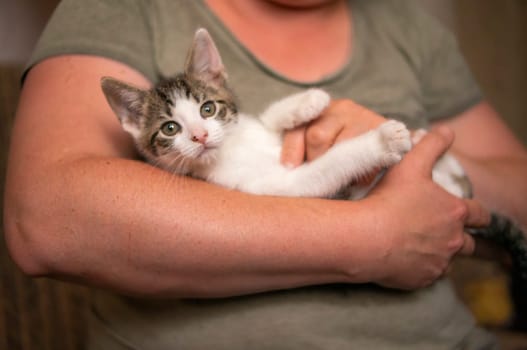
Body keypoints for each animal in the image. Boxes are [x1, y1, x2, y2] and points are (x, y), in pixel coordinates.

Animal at [101, 29, 524, 304]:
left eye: (208, 108)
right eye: (170, 128)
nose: (201, 136)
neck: (231, 150)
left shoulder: (253, 131)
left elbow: (268, 119)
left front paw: (307, 102)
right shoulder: (281, 187)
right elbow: (332, 164)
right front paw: (380, 142)